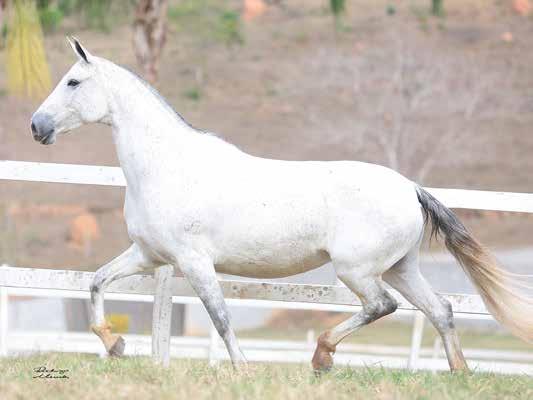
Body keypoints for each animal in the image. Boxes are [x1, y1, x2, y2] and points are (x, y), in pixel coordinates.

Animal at [31, 38, 528, 372]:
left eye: (73, 81)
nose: (36, 126)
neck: (167, 167)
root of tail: (410, 187)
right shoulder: (149, 256)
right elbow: (96, 282)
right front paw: (114, 345)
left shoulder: (193, 262)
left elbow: (220, 317)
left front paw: (242, 369)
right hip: (399, 268)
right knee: (440, 309)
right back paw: (458, 372)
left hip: (357, 270)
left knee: (381, 307)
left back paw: (323, 354)